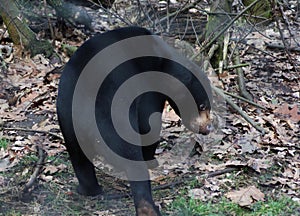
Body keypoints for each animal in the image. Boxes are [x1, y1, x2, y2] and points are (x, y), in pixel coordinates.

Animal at [55, 27, 211, 216]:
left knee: (78, 156)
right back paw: (148, 207)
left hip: (67, 120)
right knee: (133, 157)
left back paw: (88, 189)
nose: (208, 128)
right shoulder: (149, 88)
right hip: (116, 118)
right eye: (202, 105)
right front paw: (152, 159)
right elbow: (149, 123)